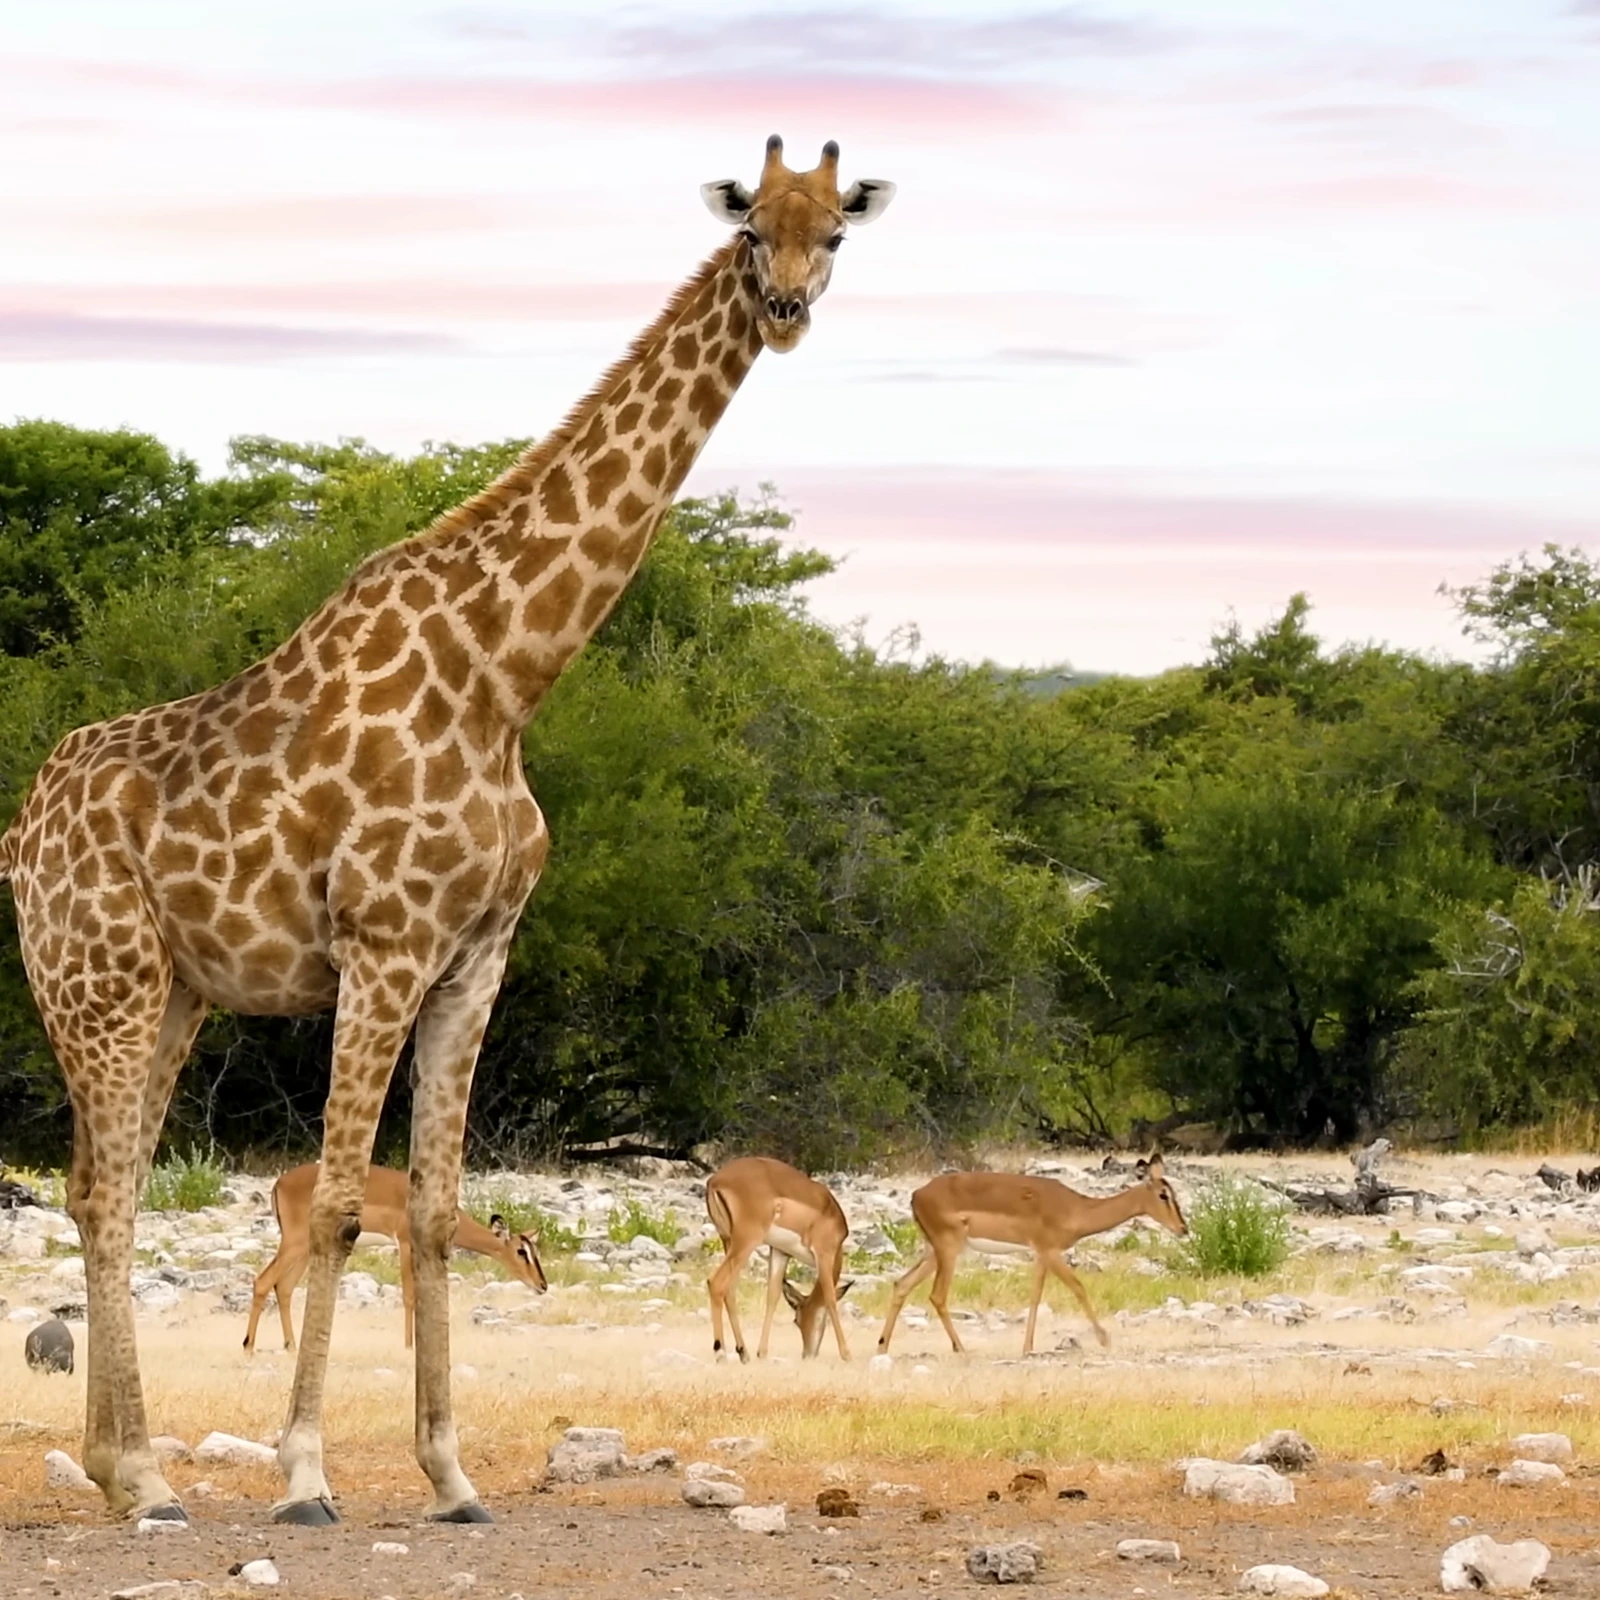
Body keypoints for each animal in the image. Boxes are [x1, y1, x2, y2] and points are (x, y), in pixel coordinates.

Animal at [0, 134, 895, 1528]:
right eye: (751, 226)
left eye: (836, 235)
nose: (788, 308)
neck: (506, 673)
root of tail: (20, 835)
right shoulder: (382, 945)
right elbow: (335, 1212)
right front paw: (306, 1473)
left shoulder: (479, 955)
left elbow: (430, 1209)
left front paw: (452, 1473)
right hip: (97, 980)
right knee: (104, 1192)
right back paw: (142, 1476)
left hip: (173, 992)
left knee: (112, 1189)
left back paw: (119, 1468)